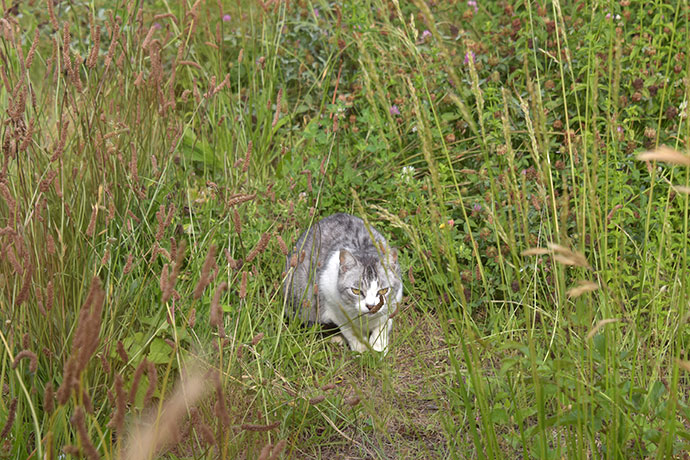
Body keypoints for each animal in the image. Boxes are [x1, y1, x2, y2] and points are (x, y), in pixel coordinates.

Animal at [282, 214, 400, 354]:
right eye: (356, 291)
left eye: (383, 291)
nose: (371, 306)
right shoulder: (334, 307)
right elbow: (351, 330)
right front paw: (361, 348)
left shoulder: (393, 303)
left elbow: (383, 325)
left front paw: (378, 347)